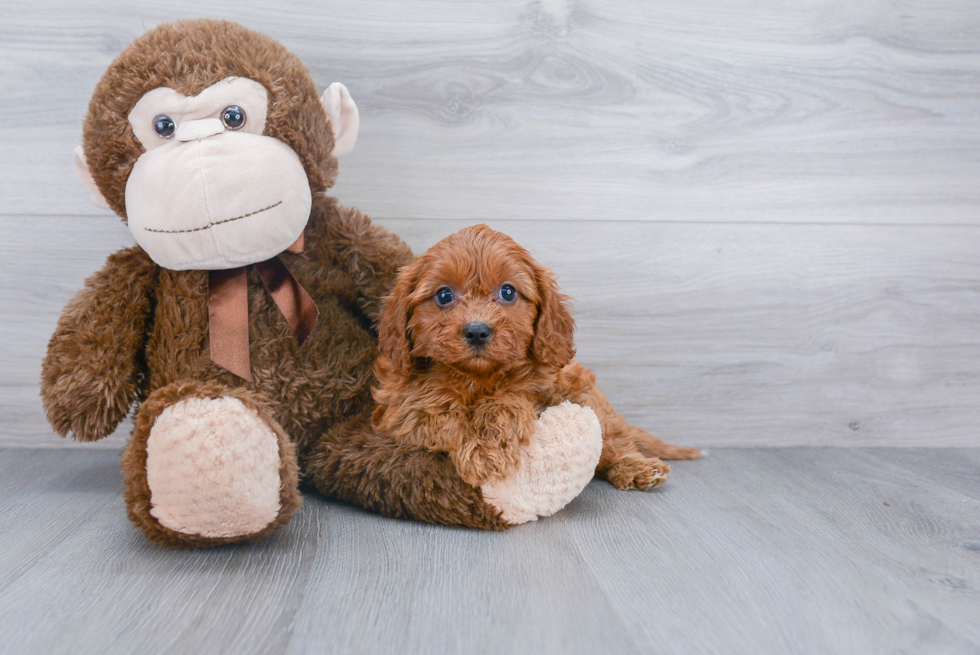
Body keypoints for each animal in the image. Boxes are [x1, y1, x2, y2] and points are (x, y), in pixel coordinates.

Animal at [372, 226, 700, 492]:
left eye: (508, 292)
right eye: (443, 296)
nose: (477, 331)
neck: (478, 378)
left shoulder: (547, 387)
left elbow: (507, 400)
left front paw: (490, 444)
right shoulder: (401, 411)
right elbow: (439, 410)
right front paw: (482, 452)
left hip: (589, 398)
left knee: (614, 445)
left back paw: (637, 466)